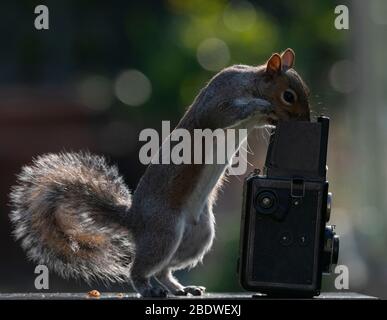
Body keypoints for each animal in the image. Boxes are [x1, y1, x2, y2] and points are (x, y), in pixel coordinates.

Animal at [9, 48, 312, 298]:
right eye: (289, 95)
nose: (306, 121)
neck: (250, 83)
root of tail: (135, 221)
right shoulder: (219, 100)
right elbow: (225, 114)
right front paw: (260, 106)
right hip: (164, 231)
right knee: (141, 268)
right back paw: (147, 288)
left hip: (198, 236)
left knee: (164, 268)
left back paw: (180, 288)